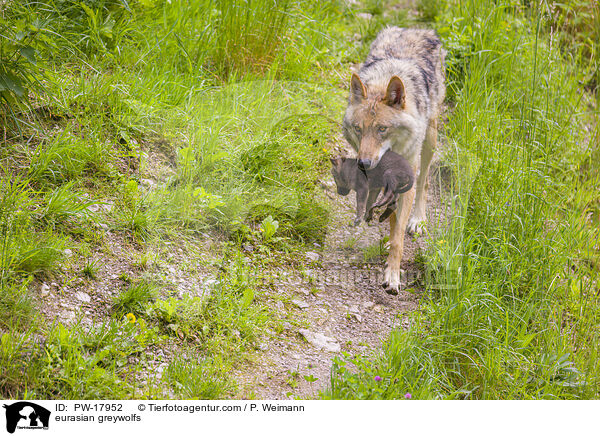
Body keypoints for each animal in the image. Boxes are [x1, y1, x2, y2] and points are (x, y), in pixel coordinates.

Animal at [342, 26, 446, 292]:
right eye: (358, 129)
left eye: (382, 129)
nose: (363, 164)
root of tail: (415, 28)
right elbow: (392, 220)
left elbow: (399, 233)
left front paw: (393, 275)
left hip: (430, 138)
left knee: (425, 181)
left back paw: (418, 220)